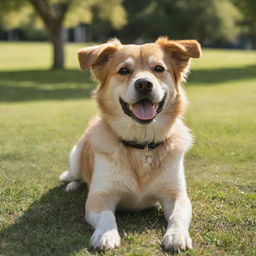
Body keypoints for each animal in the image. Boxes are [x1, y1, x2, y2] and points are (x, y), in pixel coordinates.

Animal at [59, 36, 201, 252]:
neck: (141, 144)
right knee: (76, 175)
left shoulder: (176, 195)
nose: (144, 84)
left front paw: (176, 236)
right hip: (75, 156)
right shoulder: (99, 196)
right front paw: (106, 235)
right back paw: (73, 185)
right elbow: (106, 215)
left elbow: (178, 215)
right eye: (124, 70)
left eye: (159, 68)